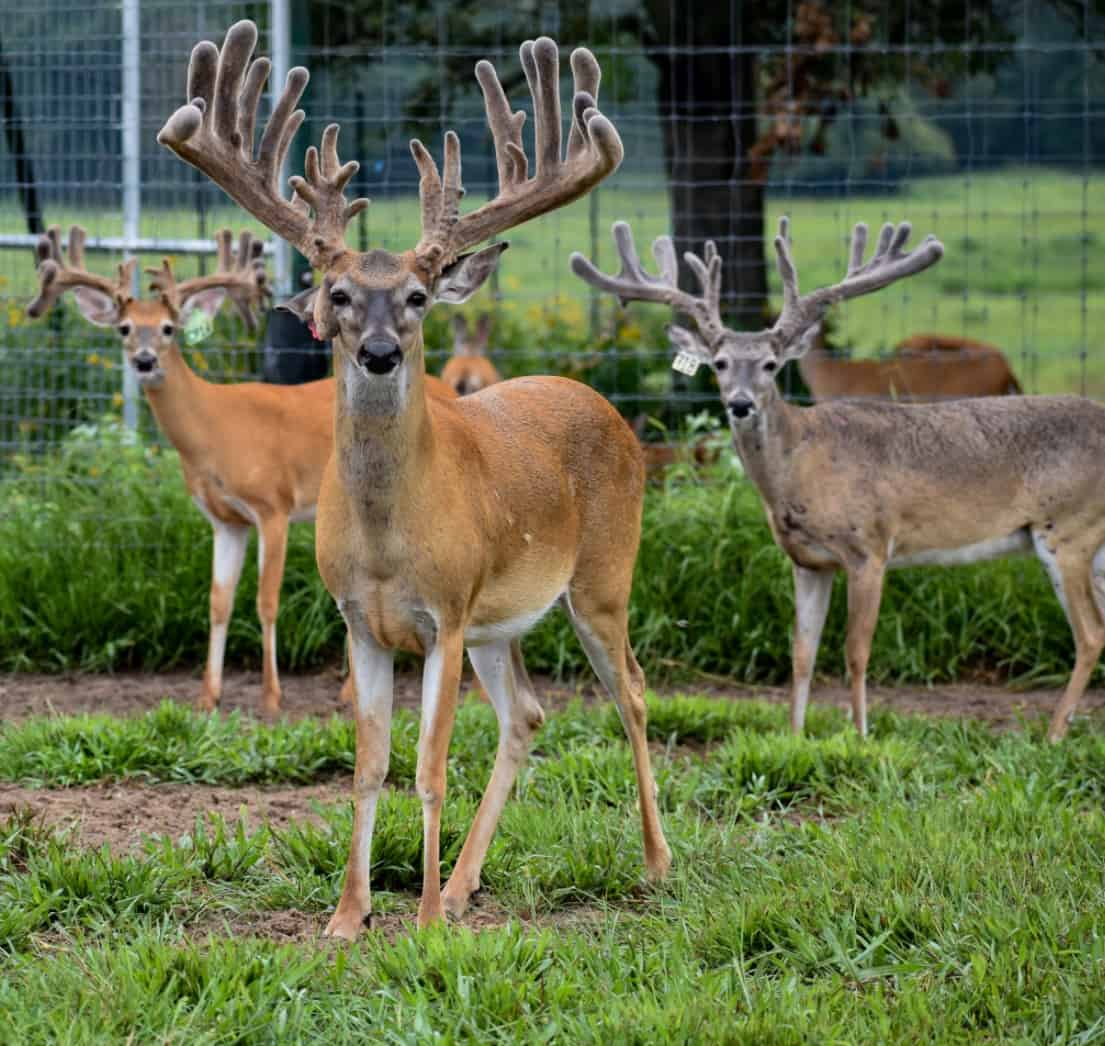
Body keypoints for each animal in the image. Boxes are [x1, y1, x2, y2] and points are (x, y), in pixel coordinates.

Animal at [28, 225, 363, 714]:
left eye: (168, 328)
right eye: (125, 328)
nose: (145, 360)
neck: (212, 434)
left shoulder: (273, 505)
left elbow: (266, 600)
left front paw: (271, 696)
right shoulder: (224, 520)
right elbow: (218, 602)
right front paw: (208, 696)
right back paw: (349, 691)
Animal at [158, 20, 671, 937]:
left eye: (419, 296)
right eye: (336, 292)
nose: (377, 353)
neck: (388, 542)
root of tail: (601, 404)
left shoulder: (446, 616)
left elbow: (429, 767)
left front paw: (424, 921)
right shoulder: (360, 622)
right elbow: (369, 764)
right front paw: (346, 917)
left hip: (600, 580)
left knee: (633, 695)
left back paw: (652, 862)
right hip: (504, 622)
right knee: (526, 716)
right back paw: (468, 882)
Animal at [573, 217, 1105, 744]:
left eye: (770, 364)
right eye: (720, 363)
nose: (740, 403)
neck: (801, 467)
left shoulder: (870, 547)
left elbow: (855, 650)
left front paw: (862, 734)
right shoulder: (807, 561)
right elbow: (801, 653)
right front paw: (794, 735)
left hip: (1067, 530)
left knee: (1090, 633)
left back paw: (1054, 733)